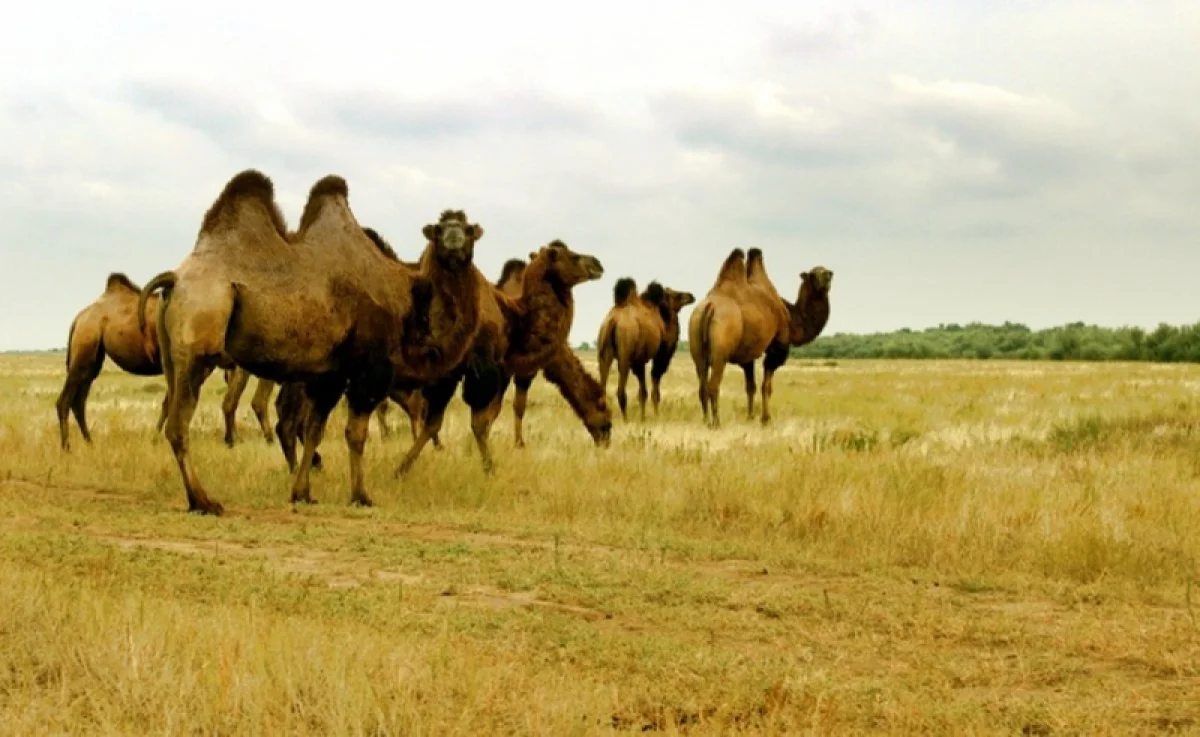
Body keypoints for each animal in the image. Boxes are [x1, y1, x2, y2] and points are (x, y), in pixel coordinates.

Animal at [56, 274, 272, 453]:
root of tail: (79, 318)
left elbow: (170, 402)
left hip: (93, 356)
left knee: (79, 399)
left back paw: (89, 442)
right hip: (86, 341)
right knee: (65, 400)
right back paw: (67, 447)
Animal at [136, 171, 482, 520]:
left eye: (468, 230)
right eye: (440, 229)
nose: (454, 242)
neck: (409, 304)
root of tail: (175, 279)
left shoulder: (328, 375)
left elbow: (315, 429)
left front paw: (302, 492)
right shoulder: (370, 371)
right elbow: (355, 434)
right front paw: (361, 495)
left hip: (173, 354)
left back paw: (199, 498)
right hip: (200, 337)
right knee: (179, 425)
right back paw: (204, 501)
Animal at [597, 278, 700, 422]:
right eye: (677, 295)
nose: (691, 296)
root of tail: (612, 321)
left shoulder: (638, 361)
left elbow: (642, 393)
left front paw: (643, 418)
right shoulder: (659, 355)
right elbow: (654, 387)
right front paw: (656, 416)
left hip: (603, 350)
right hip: (625, 353)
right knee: (621, 390)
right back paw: (626, 420)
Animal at [691, 249, 792, 429]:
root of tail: (709, 307)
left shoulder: (748, 354)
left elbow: (751, 386)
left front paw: (751, 417)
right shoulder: (776, 346)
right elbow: (766, 386)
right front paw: (765, 419)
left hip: (696, 343)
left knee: (702, 386)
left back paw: (706, 421)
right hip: (720, 352)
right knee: (713, 385)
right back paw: (716, 422)